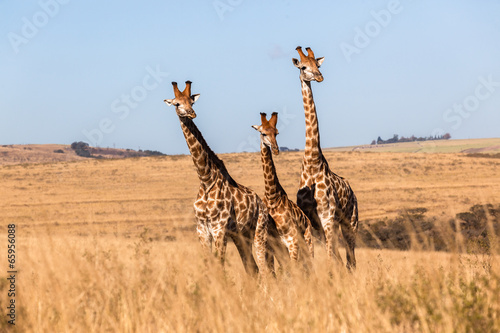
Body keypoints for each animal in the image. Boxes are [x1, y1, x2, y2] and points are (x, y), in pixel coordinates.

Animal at [164, 80, 272, 274]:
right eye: (177, 103)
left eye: (192, 102)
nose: (191, 113)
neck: (205, 179)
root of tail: (261, 203)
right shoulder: (202, 230)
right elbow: (209, 266)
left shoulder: (219, 229)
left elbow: (219, 266)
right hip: (241, 236)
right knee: (252, 268)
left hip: (259, 231)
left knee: (263, 268)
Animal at [252, 111, 314, 264]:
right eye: (263, 133)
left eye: (277, 133)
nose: (275, 149)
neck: (272, 197)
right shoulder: (272, 244)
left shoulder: (292, 240)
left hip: (307, 243)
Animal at [292, 46, 360, 270]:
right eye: (303, 67)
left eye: (318, 65)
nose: (320, 77)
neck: (312, 162)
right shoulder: (313, 220)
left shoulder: (327, 216)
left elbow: (331, 257)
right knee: (343, 258)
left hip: (350, 221)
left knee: (350, 259)